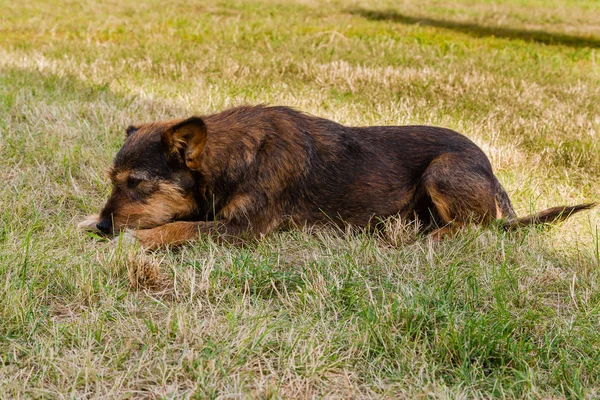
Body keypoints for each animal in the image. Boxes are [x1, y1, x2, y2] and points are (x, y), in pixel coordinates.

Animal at [79, 104, 596, 248]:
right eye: (112, 180)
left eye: (136, 183)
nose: (104, 225)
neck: (234, 157)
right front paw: (87, 220)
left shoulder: (241, 230)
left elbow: (179, 227)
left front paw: (136, 239)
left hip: (444, 168)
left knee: (475, 228)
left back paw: (423, 238)